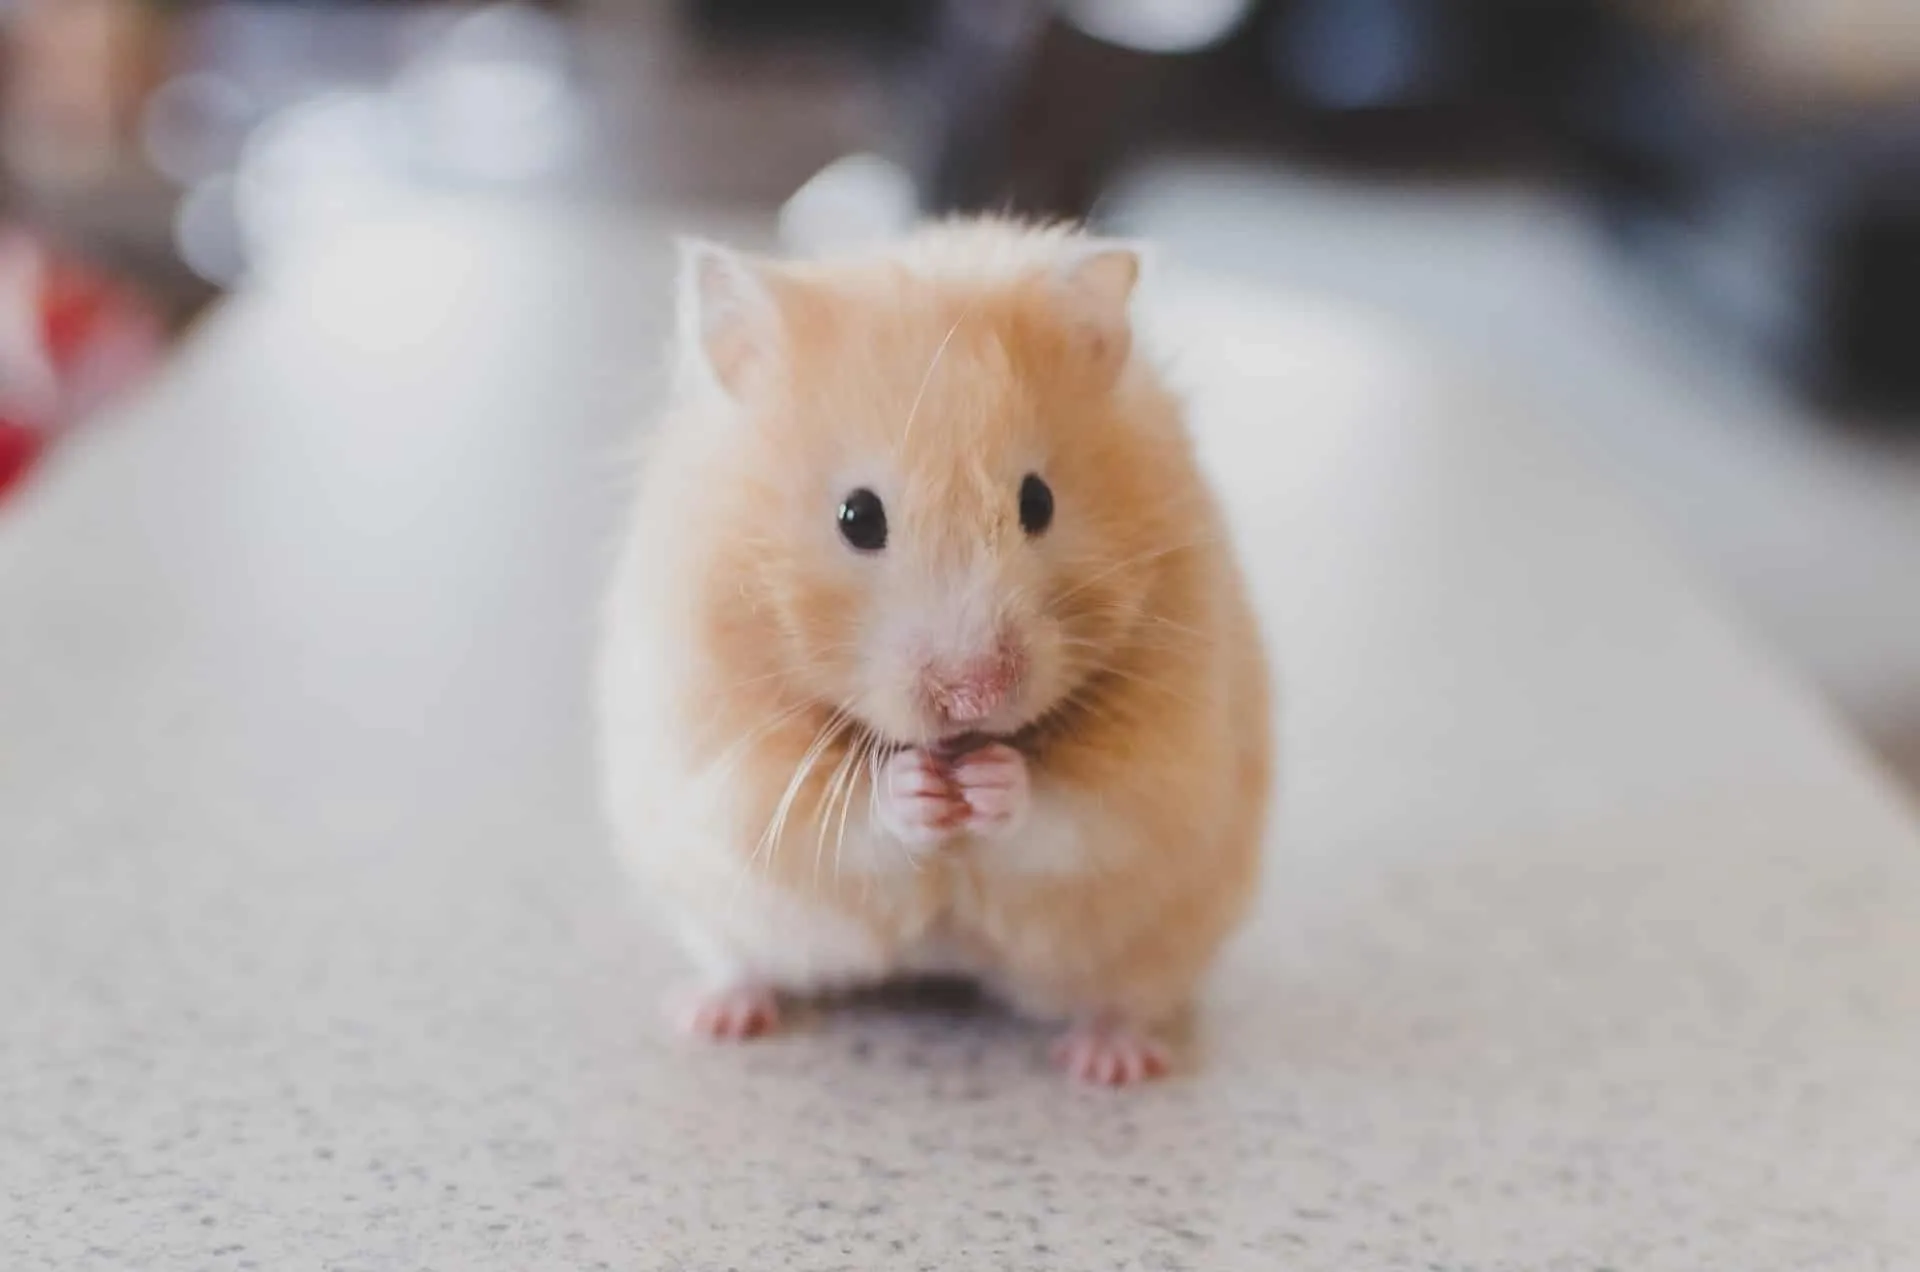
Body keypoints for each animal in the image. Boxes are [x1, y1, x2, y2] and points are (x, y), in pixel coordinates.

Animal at [598, 218, 1272, 1085]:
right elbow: (838, 816)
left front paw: (990, 782)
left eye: (1038, 502)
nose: (975, 695)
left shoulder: (1163, 763)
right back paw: (712, 1015)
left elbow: (1074, 811)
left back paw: (1110, 1062)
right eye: (857, 517)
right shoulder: (728, 758)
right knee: (742, 961)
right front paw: (918, 788)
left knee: (1124, 997)